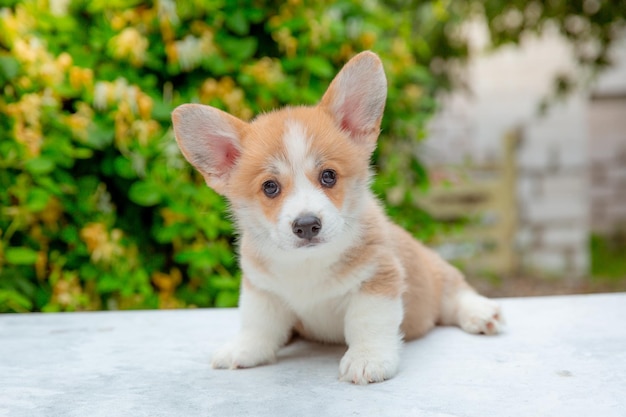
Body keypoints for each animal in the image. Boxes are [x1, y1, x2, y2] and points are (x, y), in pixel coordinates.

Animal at [171, 51, 502, 384]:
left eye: (328, 176)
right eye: (270, 187)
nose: (306, 225)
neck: (307, 263)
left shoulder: (377, 279)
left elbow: (367, 323)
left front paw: (367, 360)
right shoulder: (261, 289)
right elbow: (258, 323)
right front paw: (243, 349)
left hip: (433, 272)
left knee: (454, 292)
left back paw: (482, 314)